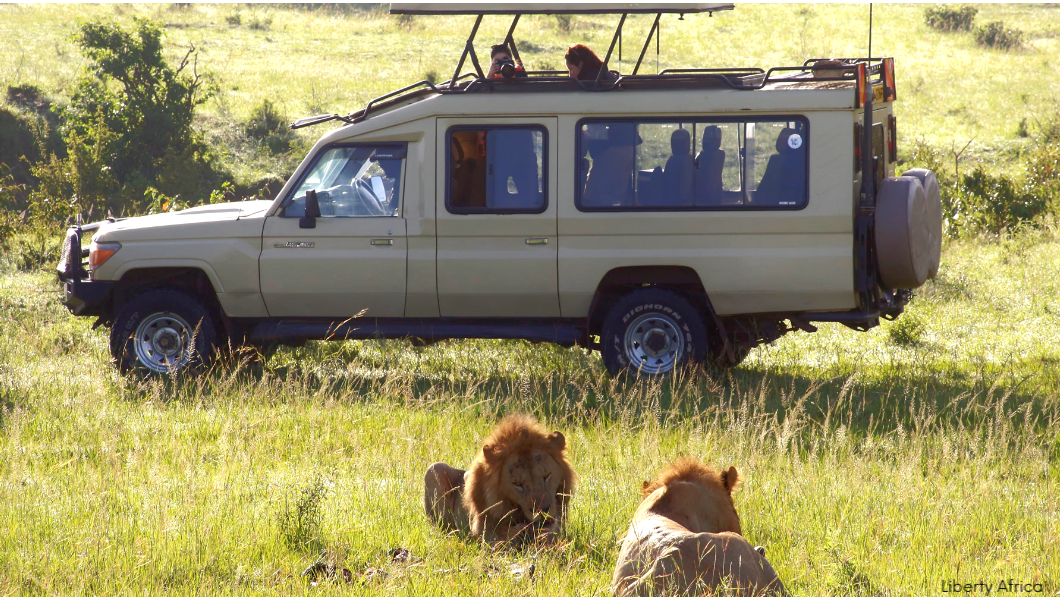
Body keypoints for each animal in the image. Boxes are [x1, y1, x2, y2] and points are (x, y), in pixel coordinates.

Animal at [421, 415, 576, 546]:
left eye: (546, 476)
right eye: (517, 484)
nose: (542, 511)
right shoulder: (483, 531)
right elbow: (503, 536)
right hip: (434, 469)